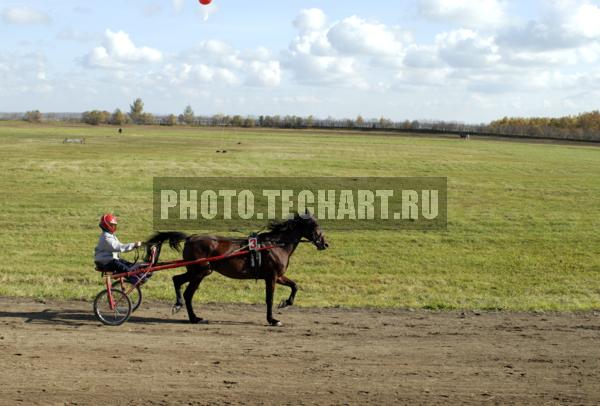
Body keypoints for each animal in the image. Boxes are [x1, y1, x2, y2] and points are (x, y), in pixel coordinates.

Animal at [148, 214, 330, 326]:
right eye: (315, 225)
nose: (325, 243)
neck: (275, 245)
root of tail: (191, 238)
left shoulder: (278, 276)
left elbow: (295, 286)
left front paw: (285, 303)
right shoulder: (271, 277)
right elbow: (269, 298)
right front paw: (272, 320)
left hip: (198, 271)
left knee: (178, 281)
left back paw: (185, 310)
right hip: (200, 272)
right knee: (185, 290)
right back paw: (191, 315)